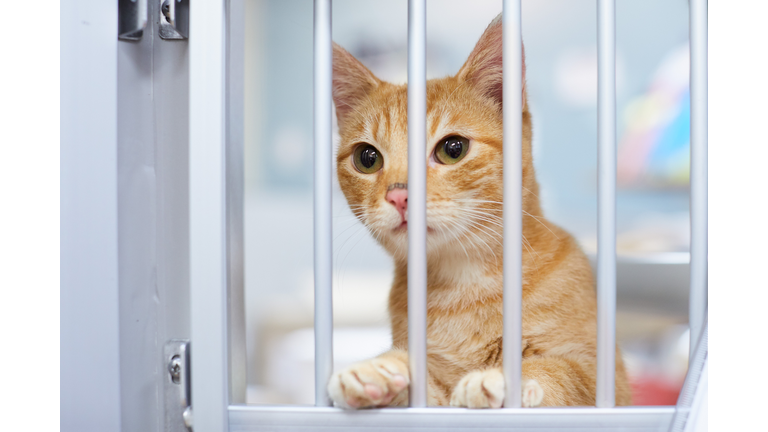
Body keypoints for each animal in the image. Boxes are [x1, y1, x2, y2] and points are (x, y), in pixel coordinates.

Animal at [324, 14, 632, 408]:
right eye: (367, 158)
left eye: (452, 149)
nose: (399, 196)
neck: (464, 287)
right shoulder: (434, 399)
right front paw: (379, 369)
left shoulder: (607, 380)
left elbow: (560, 371)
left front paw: (500, 379)